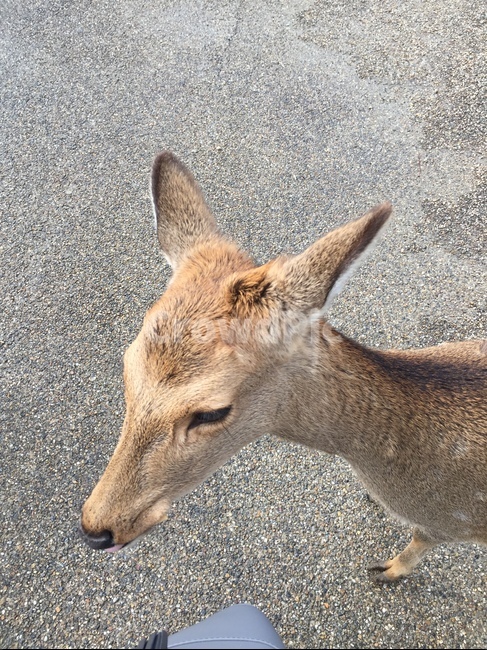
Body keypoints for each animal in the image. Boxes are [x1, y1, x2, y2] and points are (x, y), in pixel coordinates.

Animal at [80, 151, 487, 582]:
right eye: (126, 366)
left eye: (212, 412)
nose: (96, 530)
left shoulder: (445, 524)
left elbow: (417, 542)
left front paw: (387, 570)